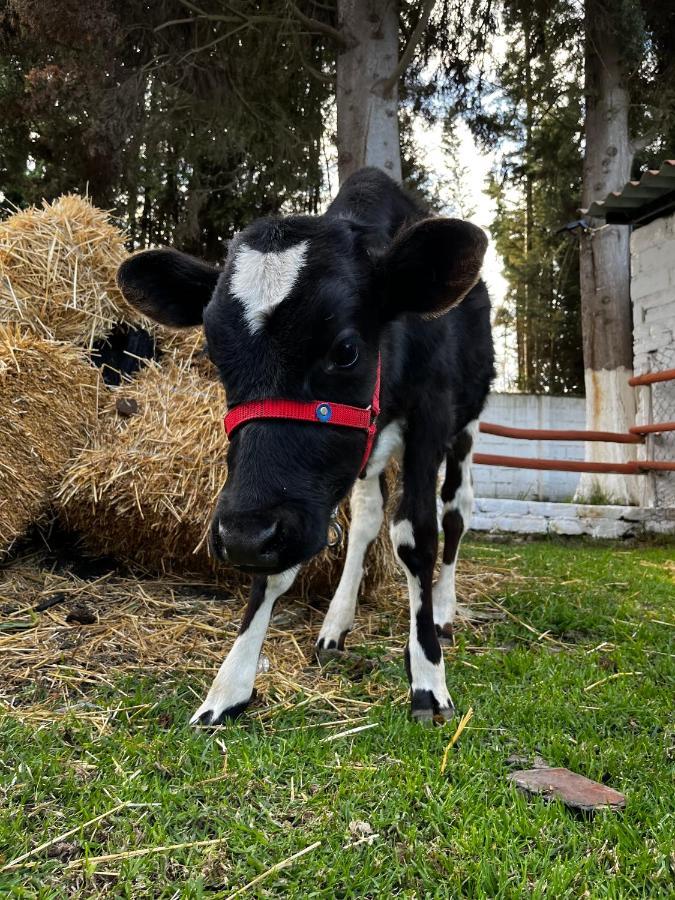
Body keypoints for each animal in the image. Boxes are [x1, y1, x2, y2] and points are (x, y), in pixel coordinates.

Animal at [119, 169, 494, 728]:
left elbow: (415, 537)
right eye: (213, 352)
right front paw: (229, 685)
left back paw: (444, 613)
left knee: (455, 511)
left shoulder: (431, 415)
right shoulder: (286, 502)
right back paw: (336, 624)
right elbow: (279, 568)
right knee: (365, 519)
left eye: (346, 350)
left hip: (466, 424)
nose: (244, 537)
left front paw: (428, 677)